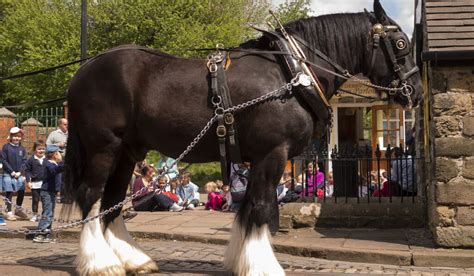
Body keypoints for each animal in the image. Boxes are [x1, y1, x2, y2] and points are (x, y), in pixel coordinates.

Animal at [62, 1, 422, 274]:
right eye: (401, 44)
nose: (415, 92)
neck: (292, 74)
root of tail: (83, 70)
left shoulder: (258, 159)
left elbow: (249, 209)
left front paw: (242, 259)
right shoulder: (272, 153)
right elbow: (261, 208)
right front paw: (263, 265)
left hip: (128, 152)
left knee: (111, 200)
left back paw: (131, 259)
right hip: (104, 147)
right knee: (90, 195)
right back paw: (100, 262)